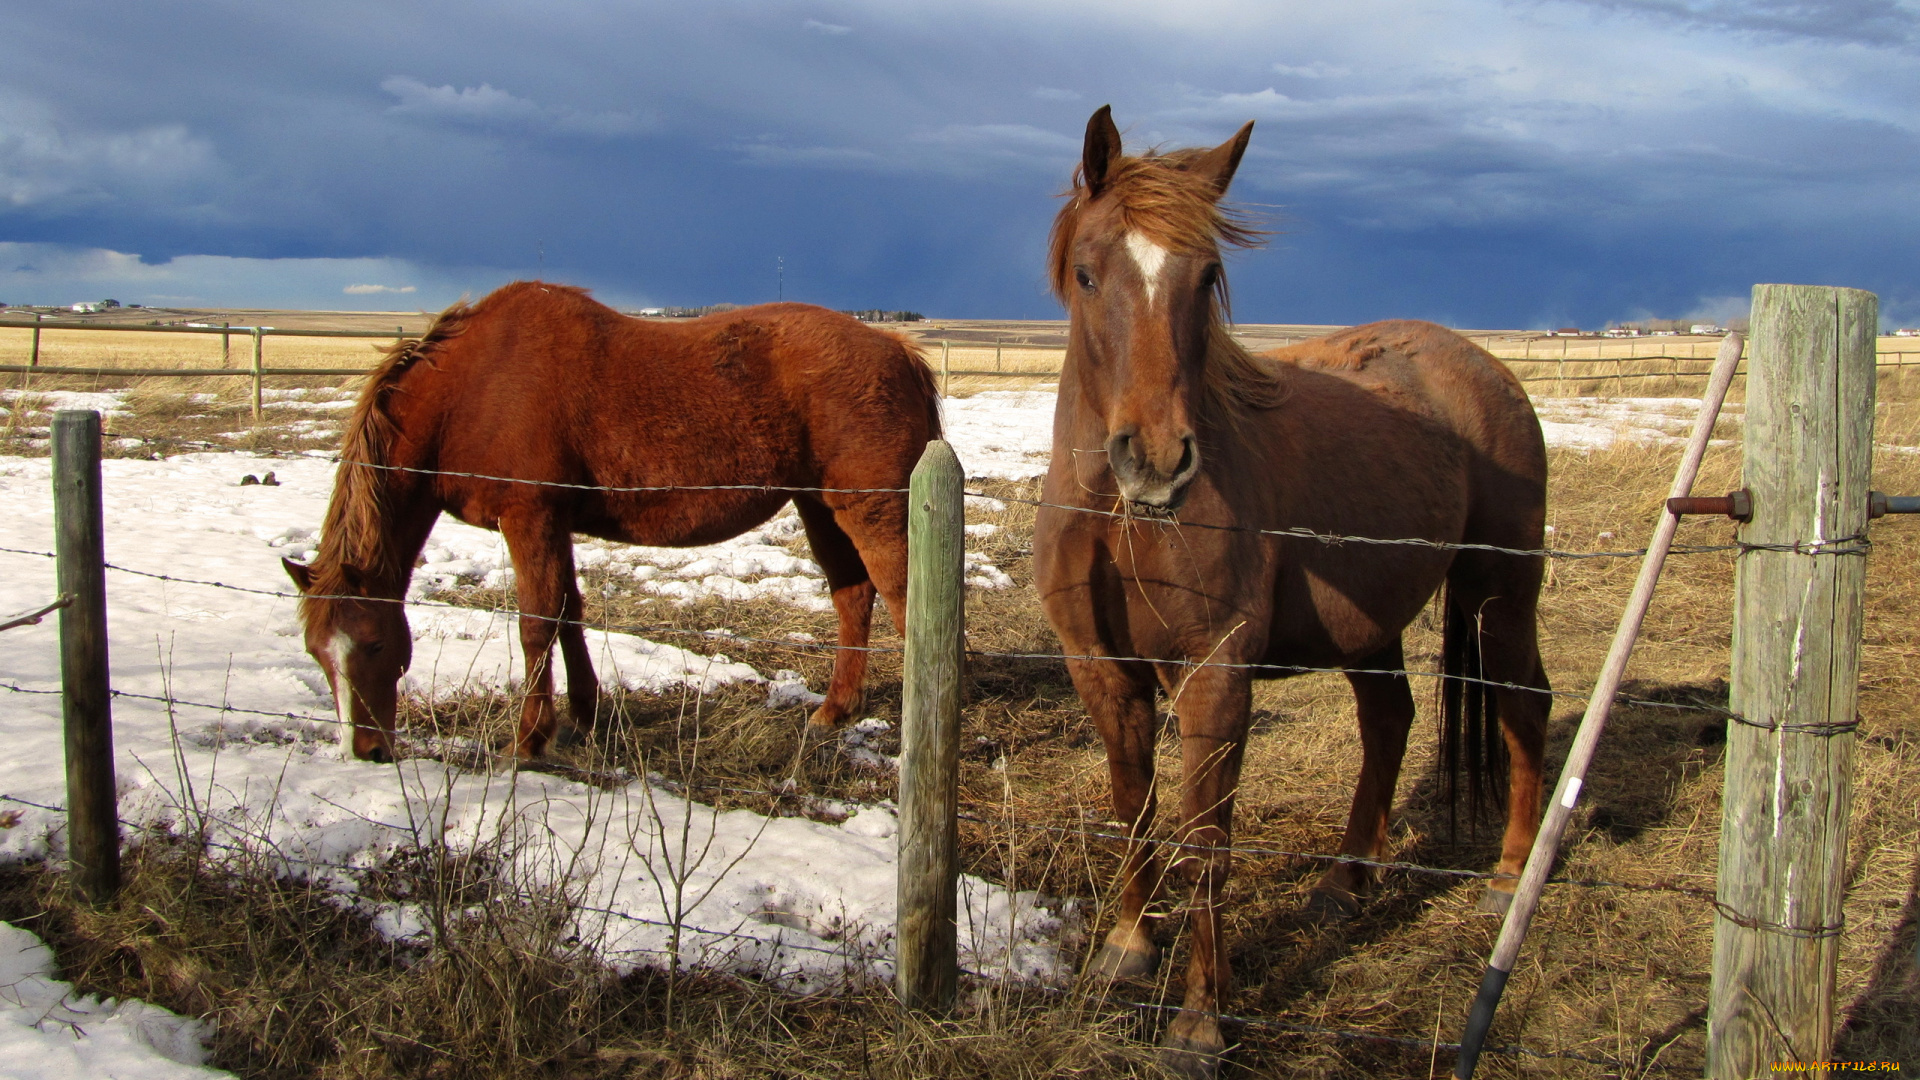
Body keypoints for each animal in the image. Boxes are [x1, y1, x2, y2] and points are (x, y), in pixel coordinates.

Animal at [284, 282, 936, 760]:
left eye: (372, 643)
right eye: (317, 653)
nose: (365, 750)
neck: (471, 387)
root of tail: (897, 351)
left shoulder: (530, 518)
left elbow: (536, 624)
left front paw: (530, 740)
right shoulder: (556, 525)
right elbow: (569, 613)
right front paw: (586, 713)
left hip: (871, 511)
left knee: (906, 603)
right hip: (819, 505)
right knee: (852, 596)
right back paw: (834, 710)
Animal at [1029, 107, 1551, 1068]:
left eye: (1207, 277)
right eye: (1087, 272)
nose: (1157, 460)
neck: (1117, 514)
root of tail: (1485, 368)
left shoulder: (1215, 674)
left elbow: (1207, 838)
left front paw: (1200, 1024)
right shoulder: (1101, 669)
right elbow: (1133, 805)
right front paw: (1128, 946)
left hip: (1501, 592)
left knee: (1522, 705)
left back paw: (1506, 879)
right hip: (1374, 625)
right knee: (1389, 721)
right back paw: (1345, 886)